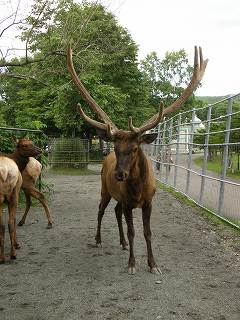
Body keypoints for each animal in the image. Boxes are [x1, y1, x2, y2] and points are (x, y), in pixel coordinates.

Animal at [66, 43, 207, 274]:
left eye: (134, 148)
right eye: (115, 147)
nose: (119, 174)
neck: (138, 189)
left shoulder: (148, 202)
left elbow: (147, 233)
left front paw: (153, 264)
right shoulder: (128, 203)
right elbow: (133, 232)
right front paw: (132, 264)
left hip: (118, 198)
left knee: (115, 212)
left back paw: (122, 243)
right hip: (105, 189)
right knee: (101, 210)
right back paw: (98, 240)